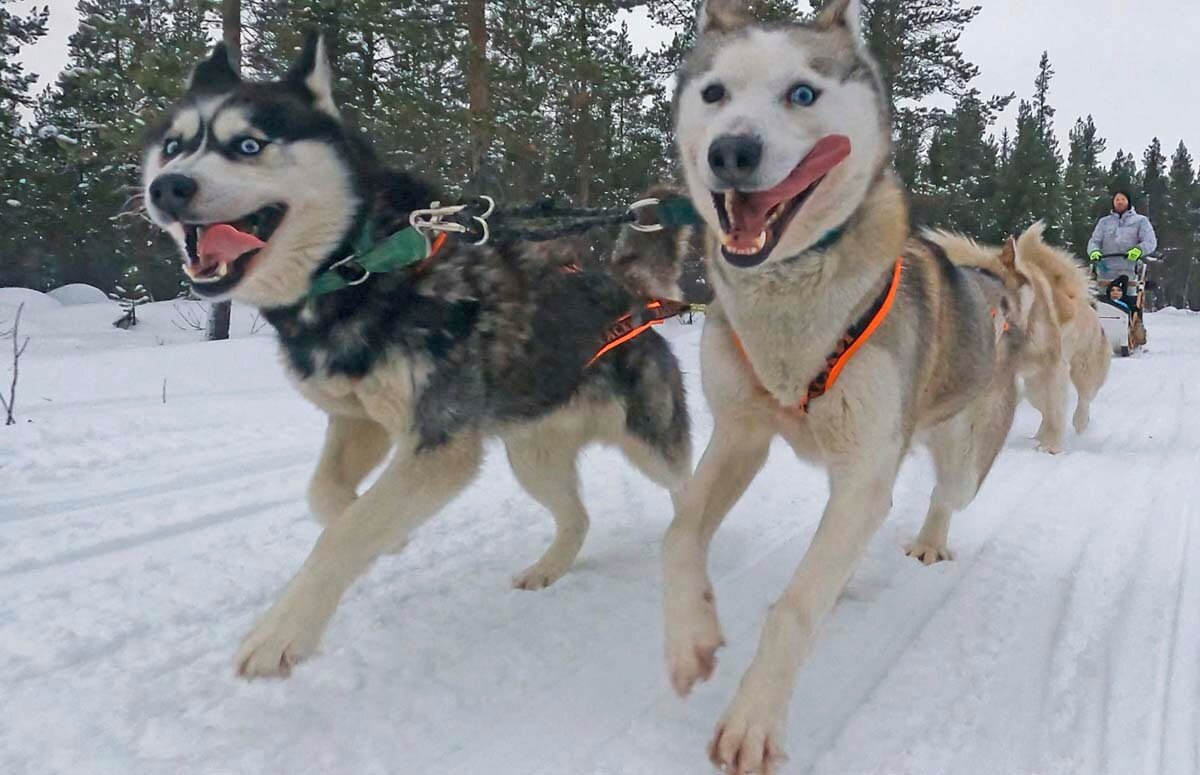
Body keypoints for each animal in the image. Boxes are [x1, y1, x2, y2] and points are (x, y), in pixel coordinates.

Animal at [144, 36, 696, 681]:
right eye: (174, 146)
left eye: (249, 145)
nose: (168, 188)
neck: (364, 264)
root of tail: (630, 290)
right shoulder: (359, 421)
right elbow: (327, 494)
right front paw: (389, 537)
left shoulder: (439, 445)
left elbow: (343, 533)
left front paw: (281, 630)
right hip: (531, 457)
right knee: (576, 517)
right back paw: (548, 567)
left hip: (649, 441)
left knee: (691, 486)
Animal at [662, 0, 1027, 772]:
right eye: (714, 93)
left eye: (802, 93)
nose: (730, 152)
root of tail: (993, 291)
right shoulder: (740, 436)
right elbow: (679, 535)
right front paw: (691, 640)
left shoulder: (864, 467)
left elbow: (797, 604)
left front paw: (753, 718)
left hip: (957, 459)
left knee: (940, 496)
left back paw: (927, 540)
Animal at [931, 221, 1108, 455]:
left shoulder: (1054, 368)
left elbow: (1056, 412)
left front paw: (1052, 447)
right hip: (1034, 386)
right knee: (1044, 408)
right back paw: (1037, 437)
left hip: (1082, 370)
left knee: (1082, 399)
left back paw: (1078, 424)